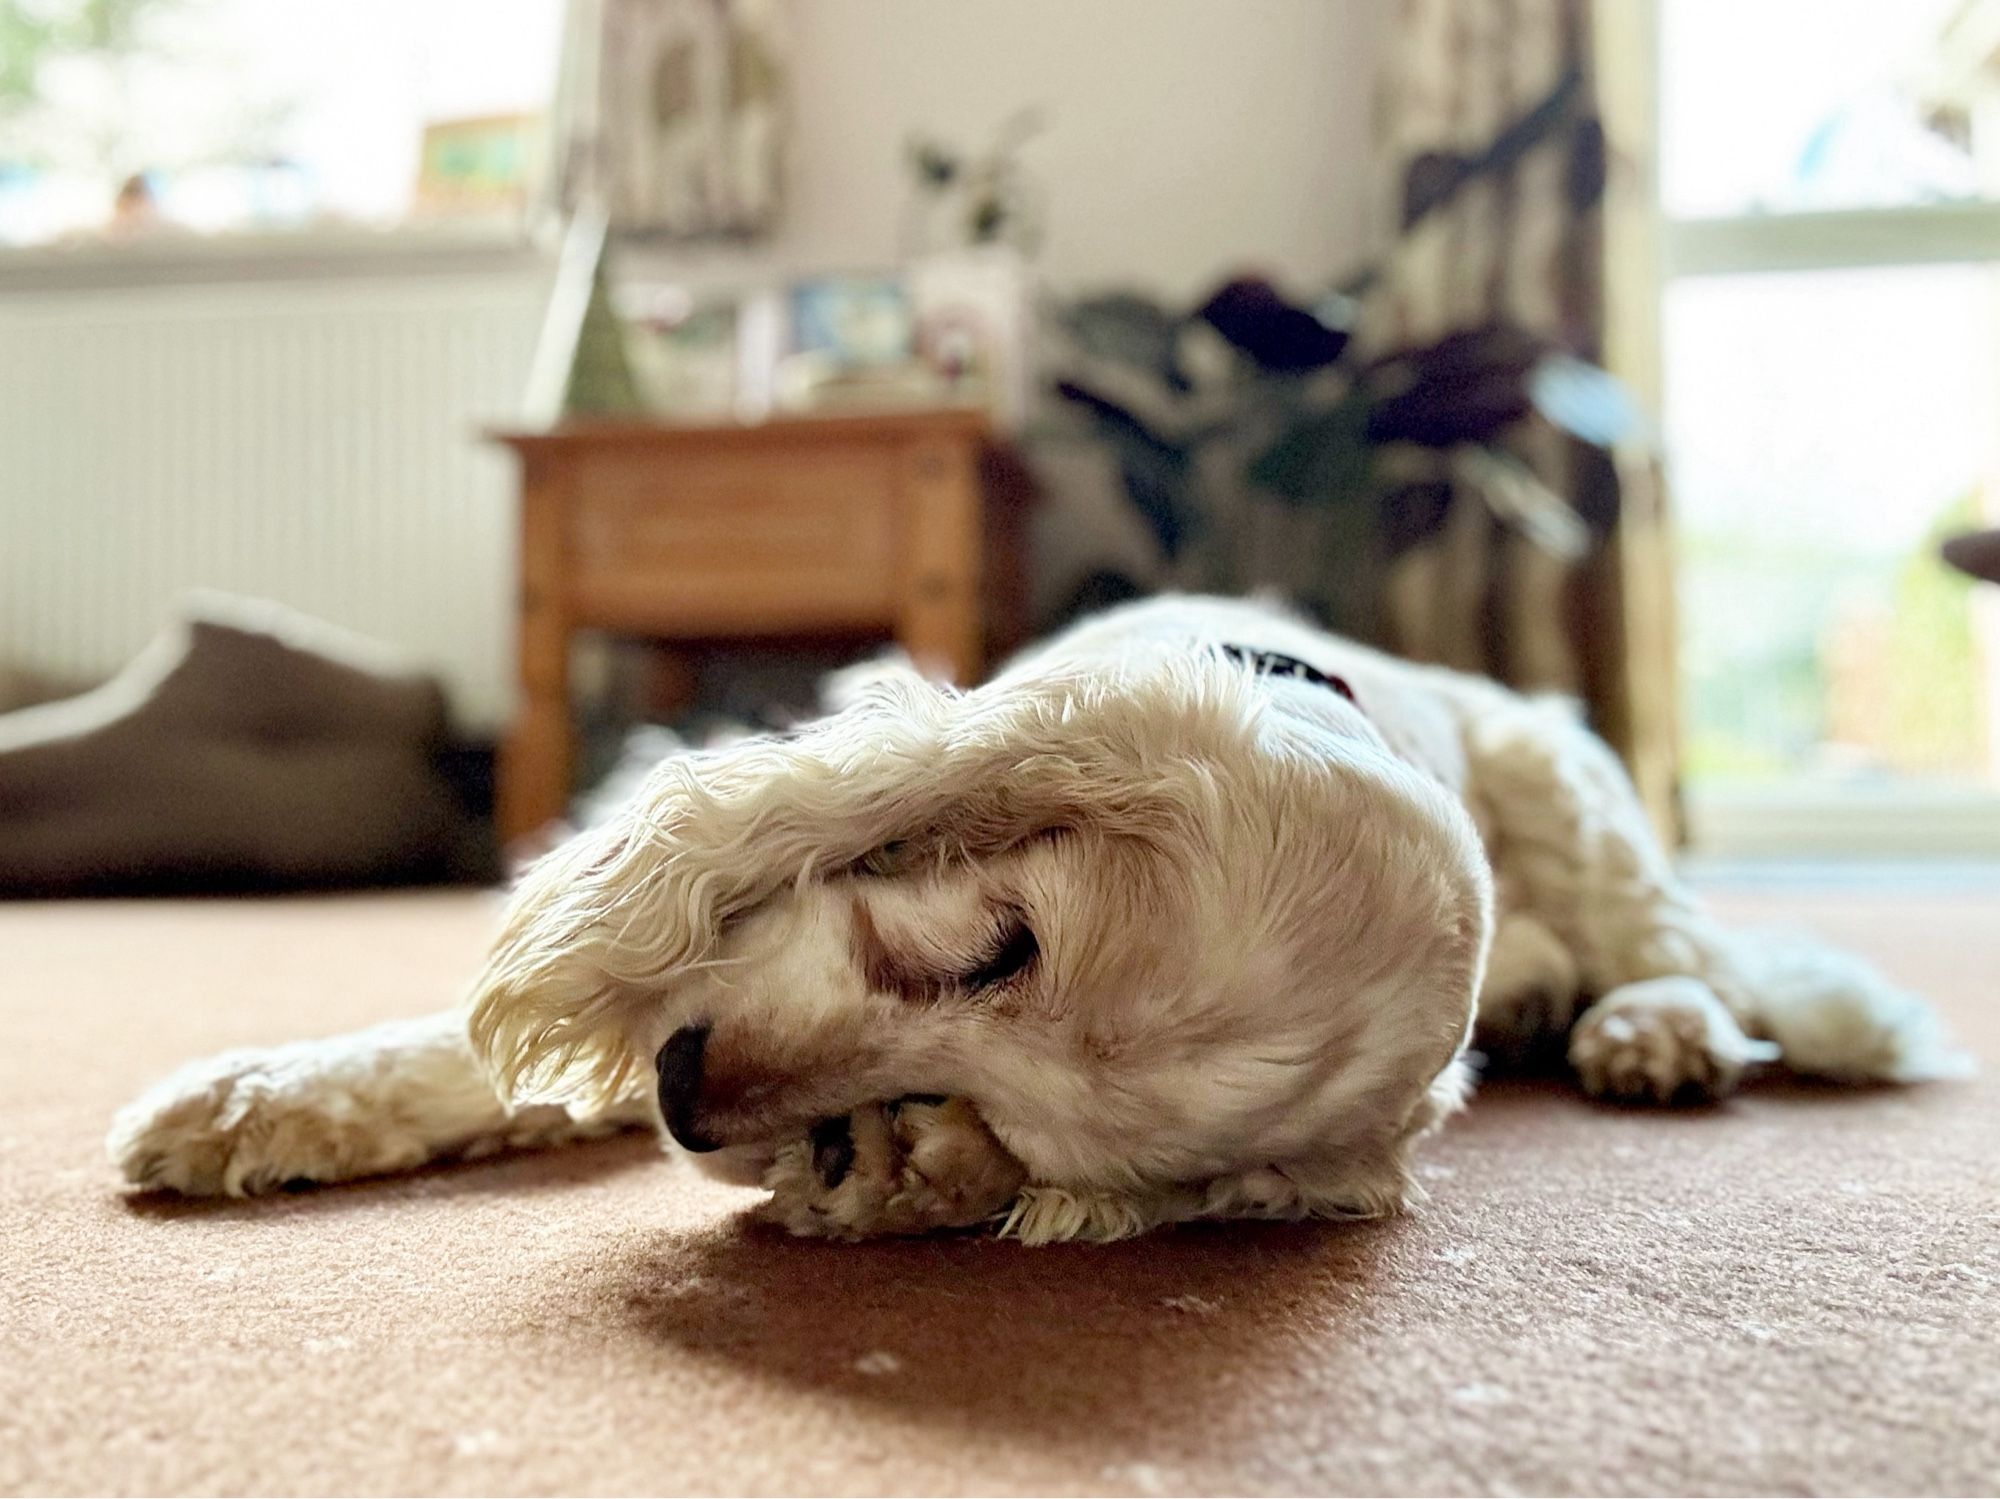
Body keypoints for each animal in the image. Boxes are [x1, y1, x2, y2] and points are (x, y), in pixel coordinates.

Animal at [101, 599, 1960, 1247]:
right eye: (988, 940)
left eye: (991, 1102)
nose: (692, 1101)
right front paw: (252, 1103)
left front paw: (875, 1172)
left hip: (1587, 811)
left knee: (1694, 960)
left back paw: (1651, 1029)